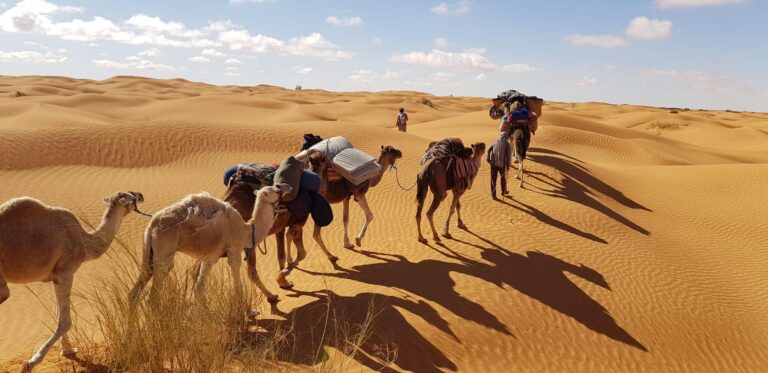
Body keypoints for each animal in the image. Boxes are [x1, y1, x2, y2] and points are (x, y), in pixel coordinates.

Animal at [0, 190, 144, 370]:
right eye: (132, 197)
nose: (141, 195)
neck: (86, 242)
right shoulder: (66, 272)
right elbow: (65, 321)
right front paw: (31, 363)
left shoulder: (55, 277)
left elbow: (58, 315)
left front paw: (68, 350)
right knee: (5, 293)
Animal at [130, 184, 292, 306]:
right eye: (276, 190)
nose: (287, 186)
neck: (247, 230)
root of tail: (150, 227)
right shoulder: (234, 249)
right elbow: (238, 285)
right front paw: (250, 311)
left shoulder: (211, 257)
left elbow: (199, 289)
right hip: (164, 251)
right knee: (153, 297)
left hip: (149, 252)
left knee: (135, 291)